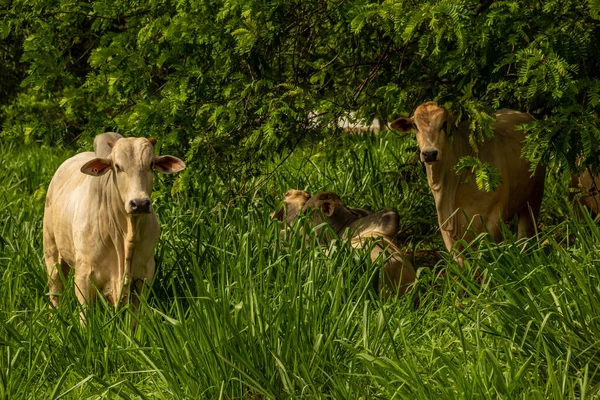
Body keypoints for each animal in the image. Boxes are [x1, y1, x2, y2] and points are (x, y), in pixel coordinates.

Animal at [43, 134, 185, 322]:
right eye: (117, 166)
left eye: (151, 165)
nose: (139, 203)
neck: (126, 234)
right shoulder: (83, 275)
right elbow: (85, 317)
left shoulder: (145, 275)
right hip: (51, 248)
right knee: (55, 289)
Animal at [392, 101, 548, 260]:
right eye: (415, 126)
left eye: (444, 124)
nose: (429, 153)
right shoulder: (448, 230)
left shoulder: (493, 220)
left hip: (534, 196)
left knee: (526, 235)